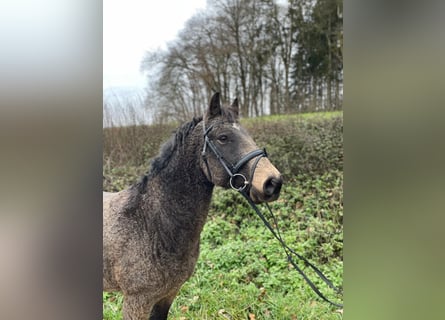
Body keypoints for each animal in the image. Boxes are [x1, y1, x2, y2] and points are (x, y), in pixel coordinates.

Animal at [103, 92, 280, 318]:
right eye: (223, 138)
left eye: (248, 134)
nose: (273, 182)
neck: (150, 223)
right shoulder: (136, 301)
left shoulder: (167, 295)